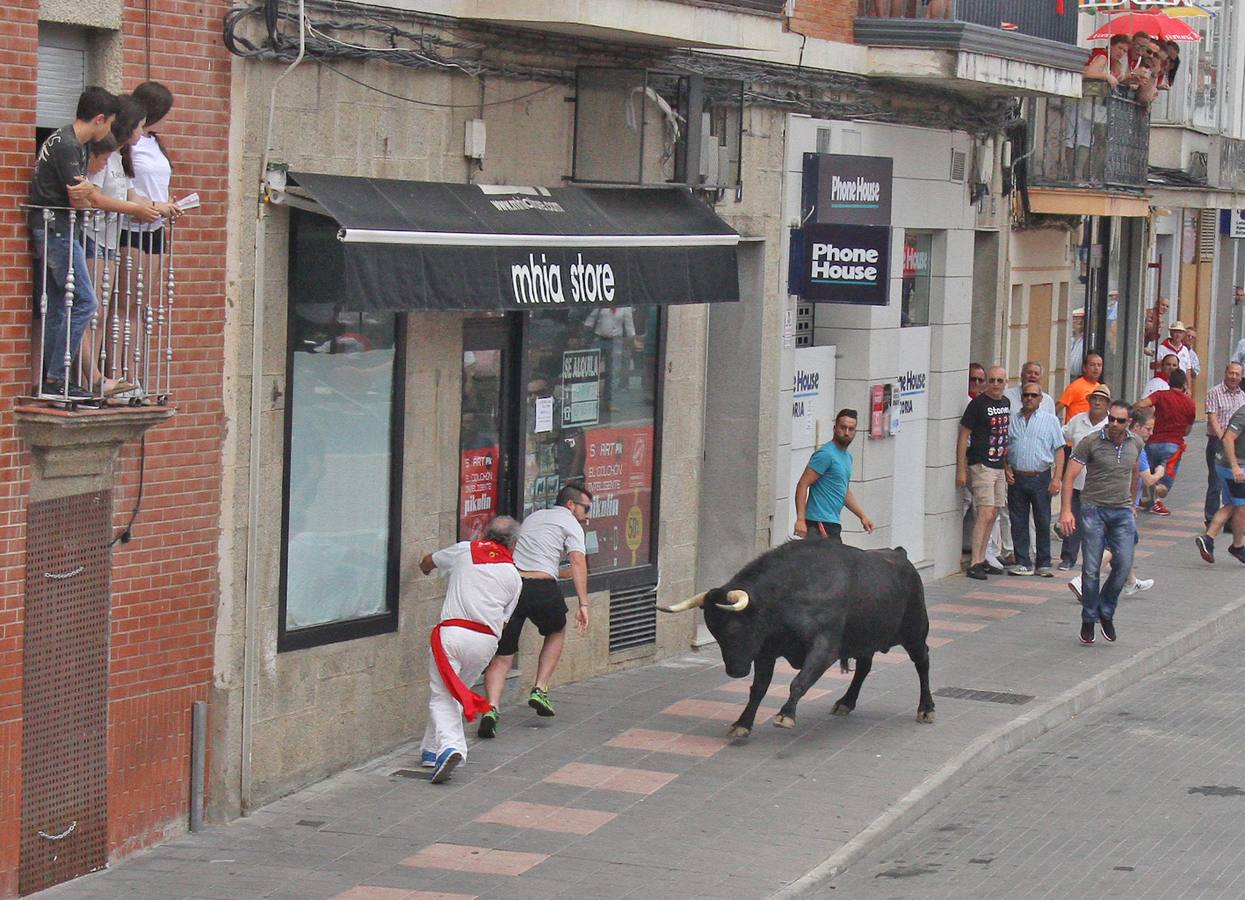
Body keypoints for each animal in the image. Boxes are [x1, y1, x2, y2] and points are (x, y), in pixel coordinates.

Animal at [662, 537, 936, 736]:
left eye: (733, 629)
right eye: (714, 632)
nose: (735, 672)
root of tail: (900, 555)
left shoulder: (824, 648)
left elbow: (799, 681)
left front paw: (785, 715)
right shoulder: (766, 651)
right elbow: (758, 688)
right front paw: (743, 723)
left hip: (915, 632)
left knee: (922, 662)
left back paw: (926, 708)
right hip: (863, 640)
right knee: (864, 667)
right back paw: (846, 702)